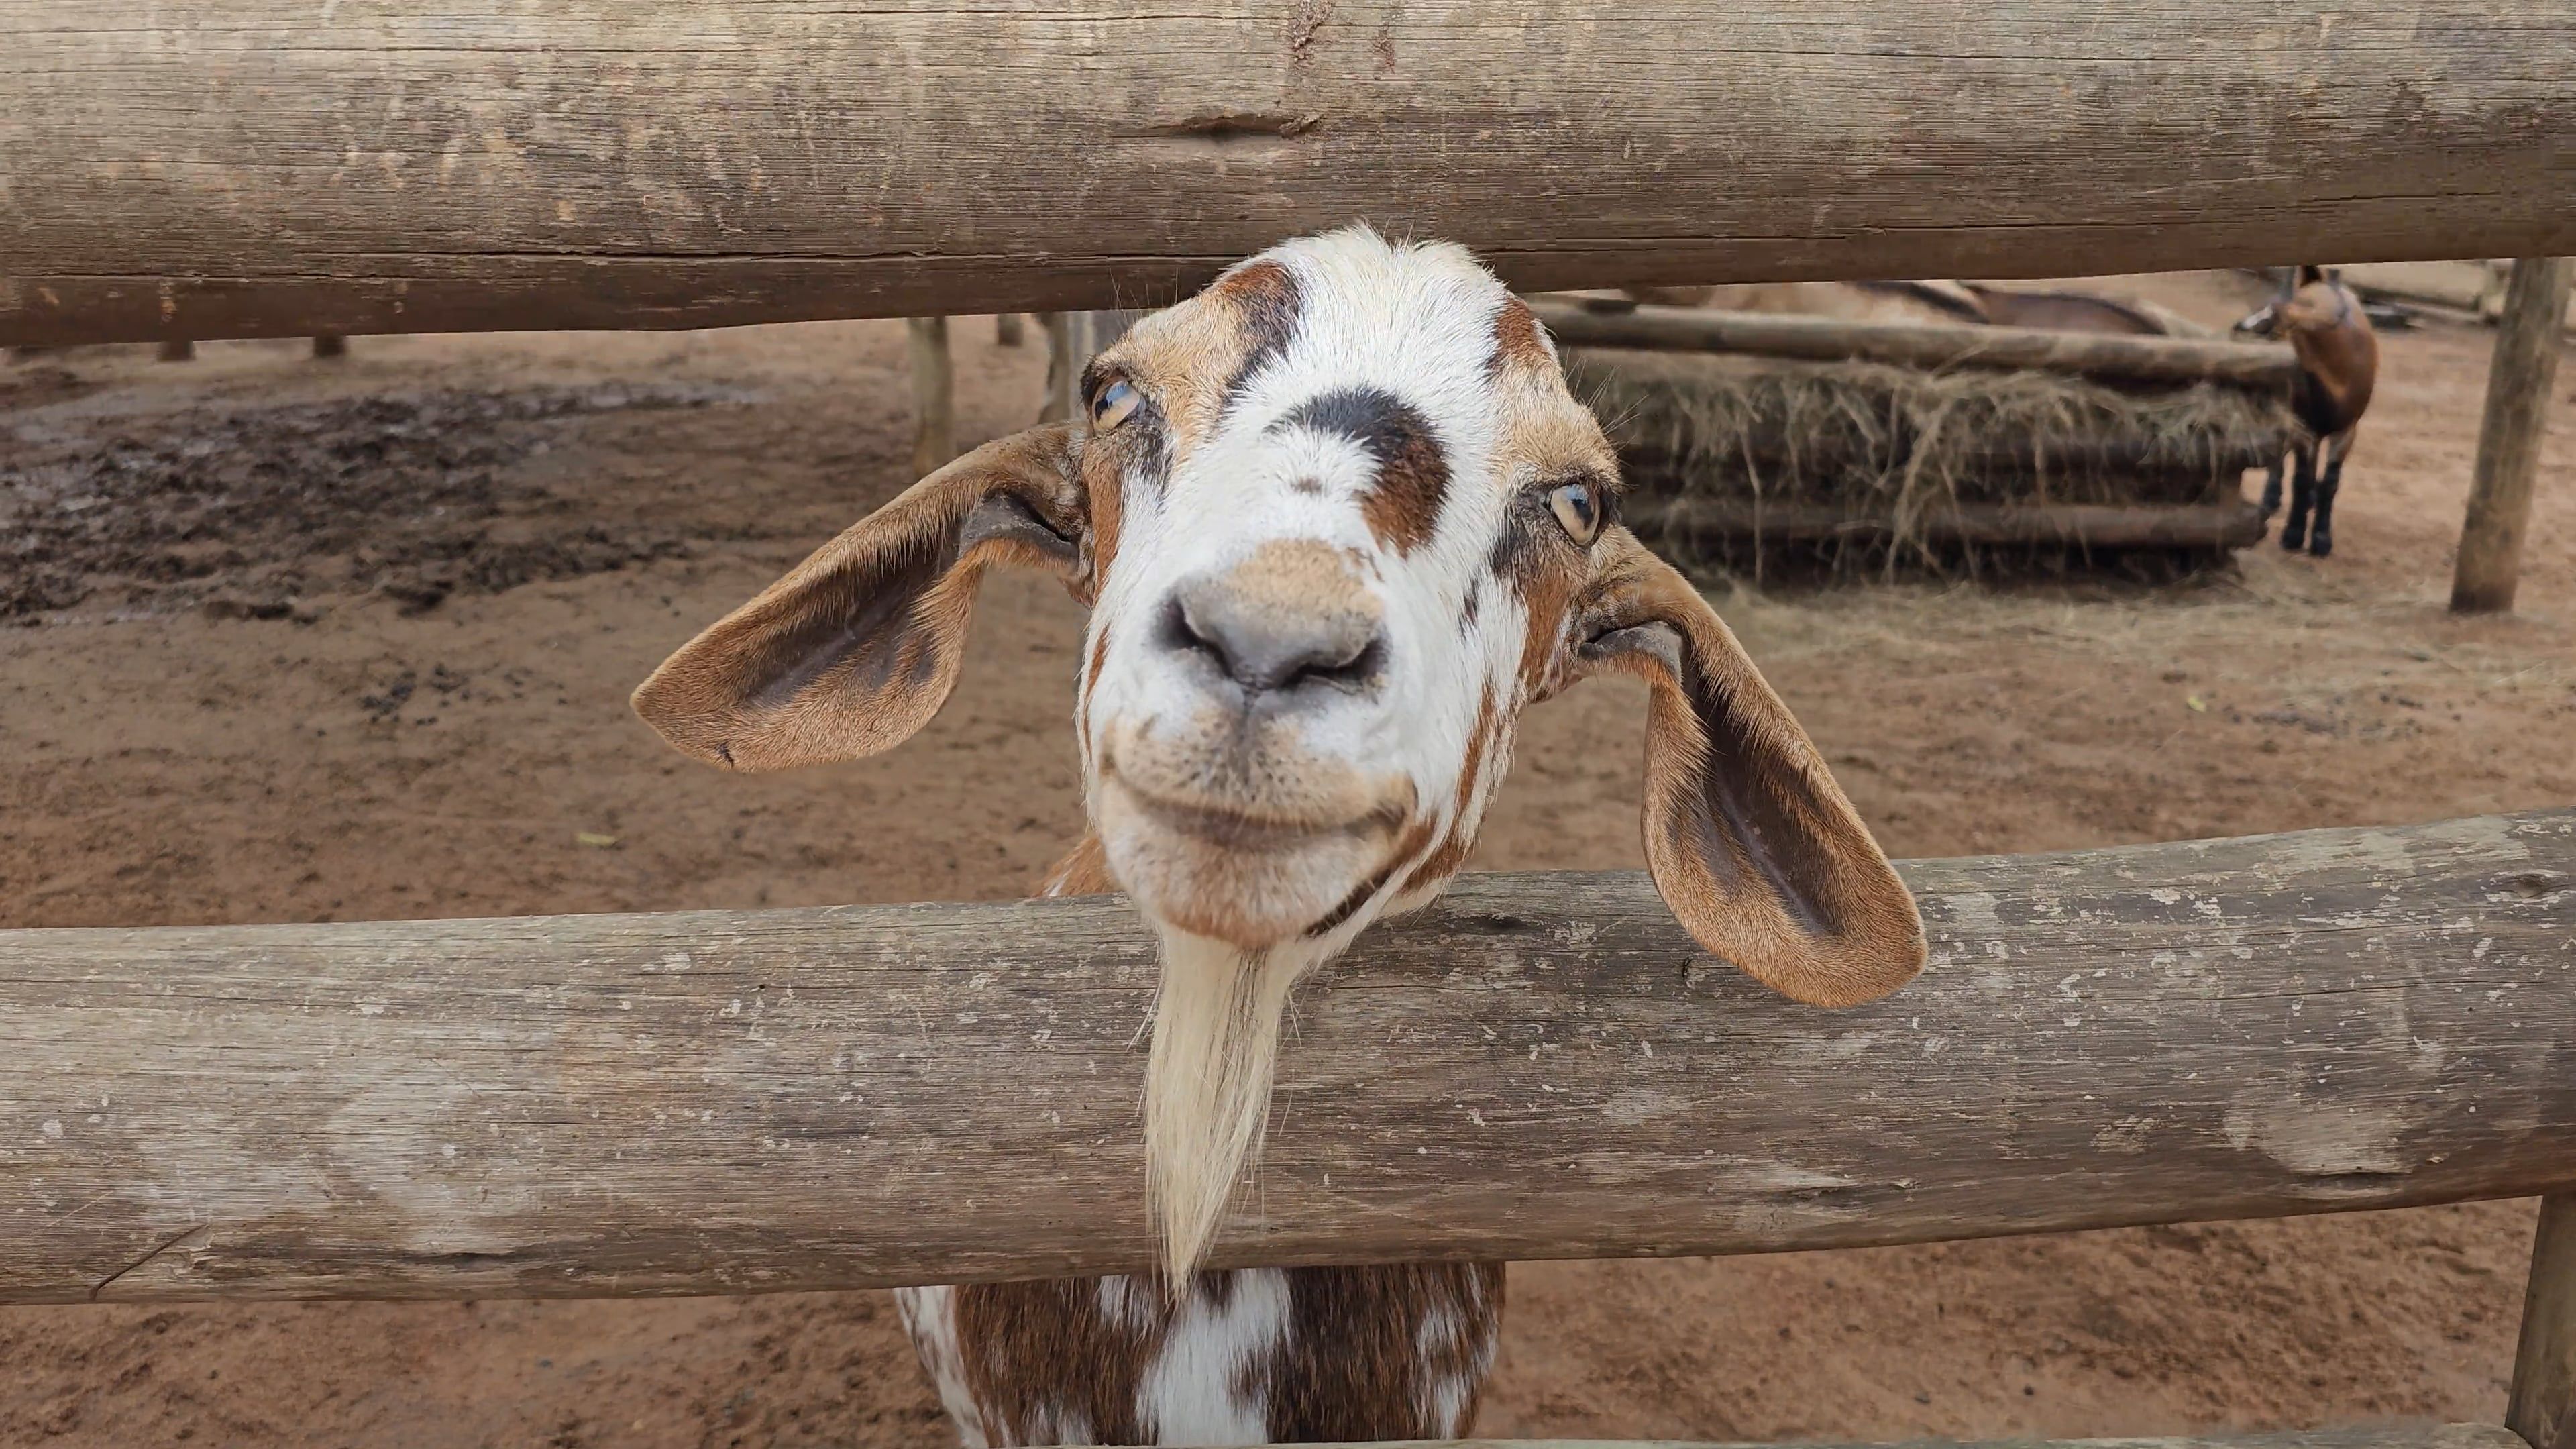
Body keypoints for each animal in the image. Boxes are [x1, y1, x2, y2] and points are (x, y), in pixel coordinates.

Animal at [2234, 265, 2379, 557]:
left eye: (2269, 329)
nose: (2236, 329)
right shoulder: (2303, 426)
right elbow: (2301, 478)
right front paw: (2293, 534)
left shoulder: (2348, 429)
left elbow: (2331, 481)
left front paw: (2322, 538)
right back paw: (2272, 498)